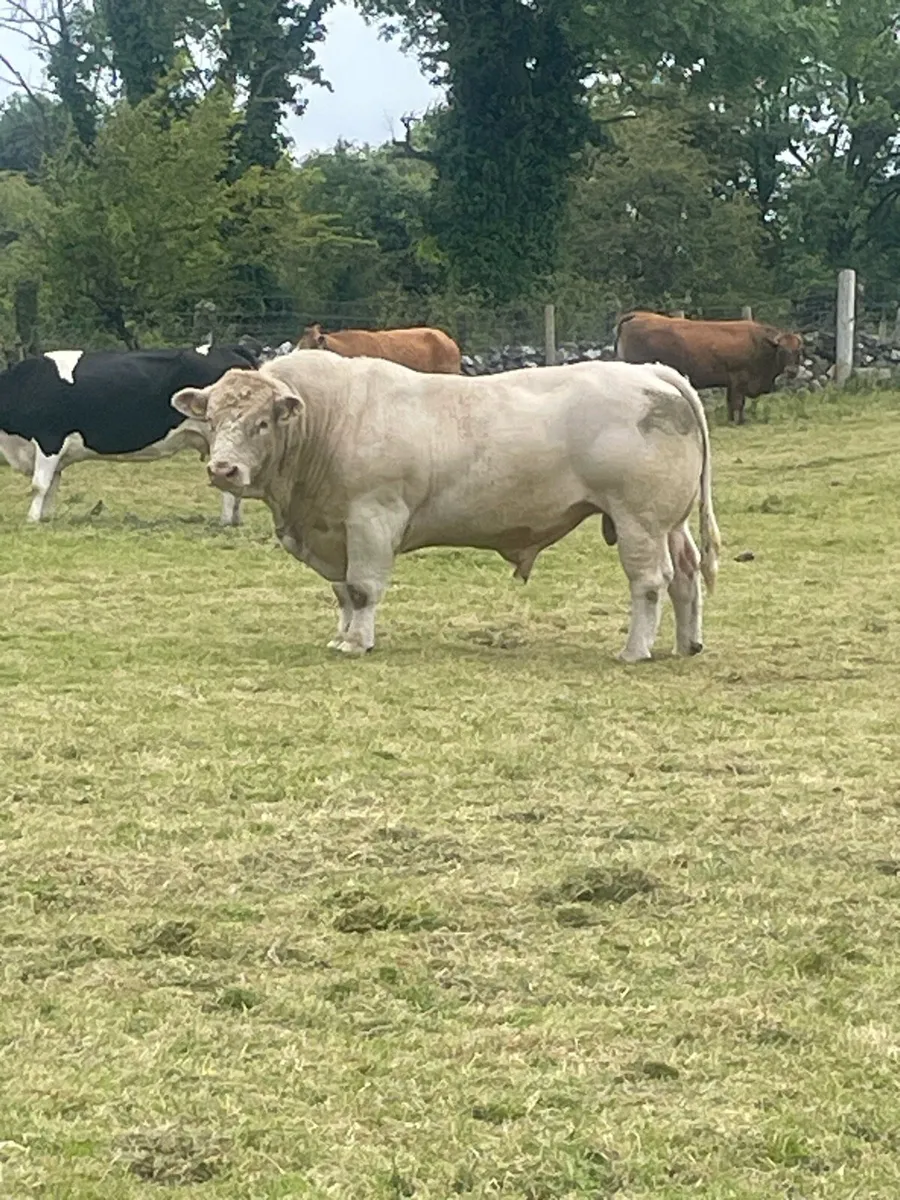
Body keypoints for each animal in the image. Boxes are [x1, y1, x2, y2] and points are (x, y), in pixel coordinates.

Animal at [0, 345, 258, 523]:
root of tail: (228, 349)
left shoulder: (49, 439)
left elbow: (39, 485)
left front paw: (32, 519)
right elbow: (52, 486)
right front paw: (46, 517)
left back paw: (225, 521)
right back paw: (235, 520)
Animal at [171, 351, 721, 663]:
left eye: (262, 422)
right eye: (213, 419)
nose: (223, 470)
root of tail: (651, 372)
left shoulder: (372, 519)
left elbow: (362, 588)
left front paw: (358, 643)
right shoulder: (334, 530)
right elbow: (342, 592)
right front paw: (342, 636)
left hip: (639, 519)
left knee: (649, 580)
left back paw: (634, 651)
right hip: (669, 521)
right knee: (686, 573)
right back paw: (686, 644)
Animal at [615, 311, 803, 424]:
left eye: (798, 351)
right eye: (782, 351)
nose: (791, 371)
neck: (760, 344)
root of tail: (638, 315)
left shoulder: (731, 383)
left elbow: (731, 403)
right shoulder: (739, 379)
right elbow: (738, 403)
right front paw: (740, 422)